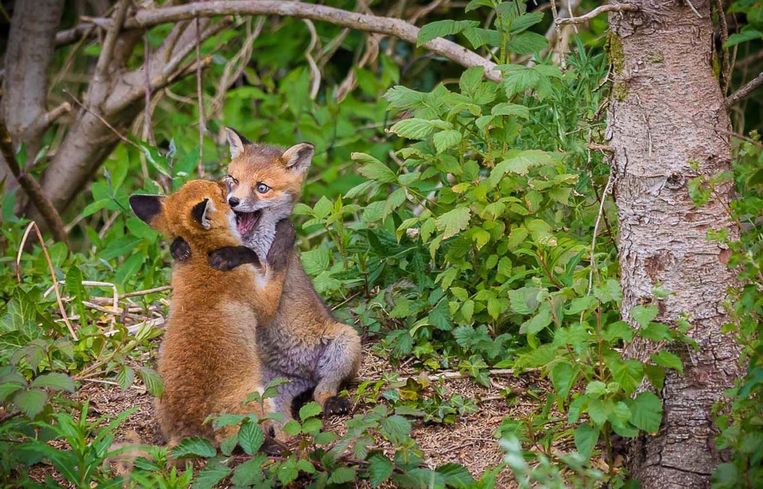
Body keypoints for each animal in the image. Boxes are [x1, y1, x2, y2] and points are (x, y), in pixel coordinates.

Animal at [128, 180, 296, 446]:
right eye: (220, 192)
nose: (226, 181)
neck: (201, 256)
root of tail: (189, 434)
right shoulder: (262, 300)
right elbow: (274, 266)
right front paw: (284, 238)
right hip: (260, 398)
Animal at [174, 131, 364, 434]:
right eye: (232, 180)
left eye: (262, 187)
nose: (233, 201)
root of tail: (300, 375)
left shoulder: (266, 278)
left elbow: (256, 261)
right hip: (267, 388)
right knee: (282, 421)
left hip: (346, 343)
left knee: (322, 393)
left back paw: (332, 402)